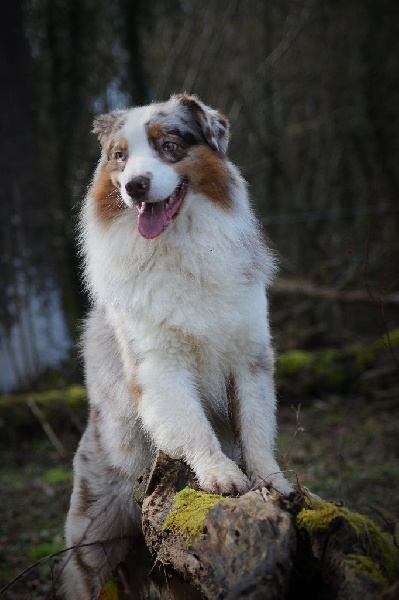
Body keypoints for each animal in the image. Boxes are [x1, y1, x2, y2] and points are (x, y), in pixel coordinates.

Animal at [64, 94, 292, 600]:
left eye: (168, 146)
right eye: (120, 156)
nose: (135, 186)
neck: (178, 243)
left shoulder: (250, 357)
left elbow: (256, 428)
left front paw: (272, 483)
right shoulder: (158, 365)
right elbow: (192, 424)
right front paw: (221, 474)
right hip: (96, 540)